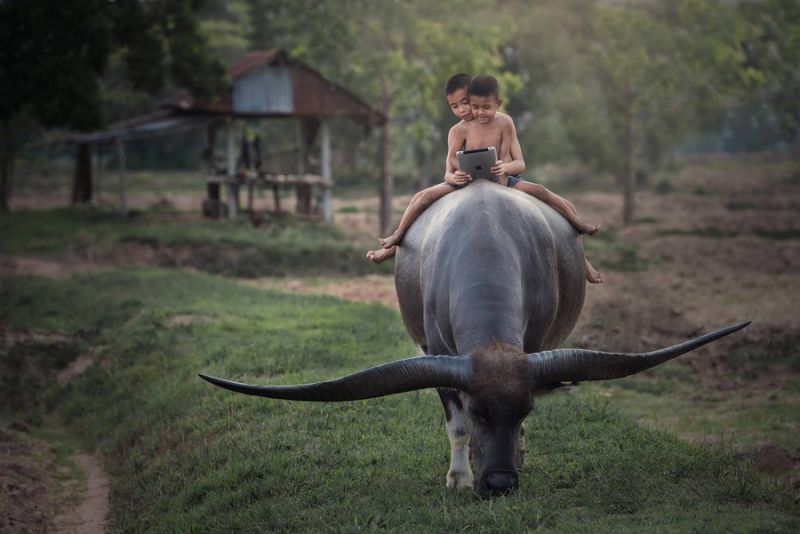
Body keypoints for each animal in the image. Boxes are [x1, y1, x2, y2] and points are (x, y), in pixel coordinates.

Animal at [200, 181, 752, 498]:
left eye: (525, 409)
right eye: (480, 410)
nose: (501, 484)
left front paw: (517, 455)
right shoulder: (438, 356)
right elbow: (455, 426)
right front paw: (459, 478)